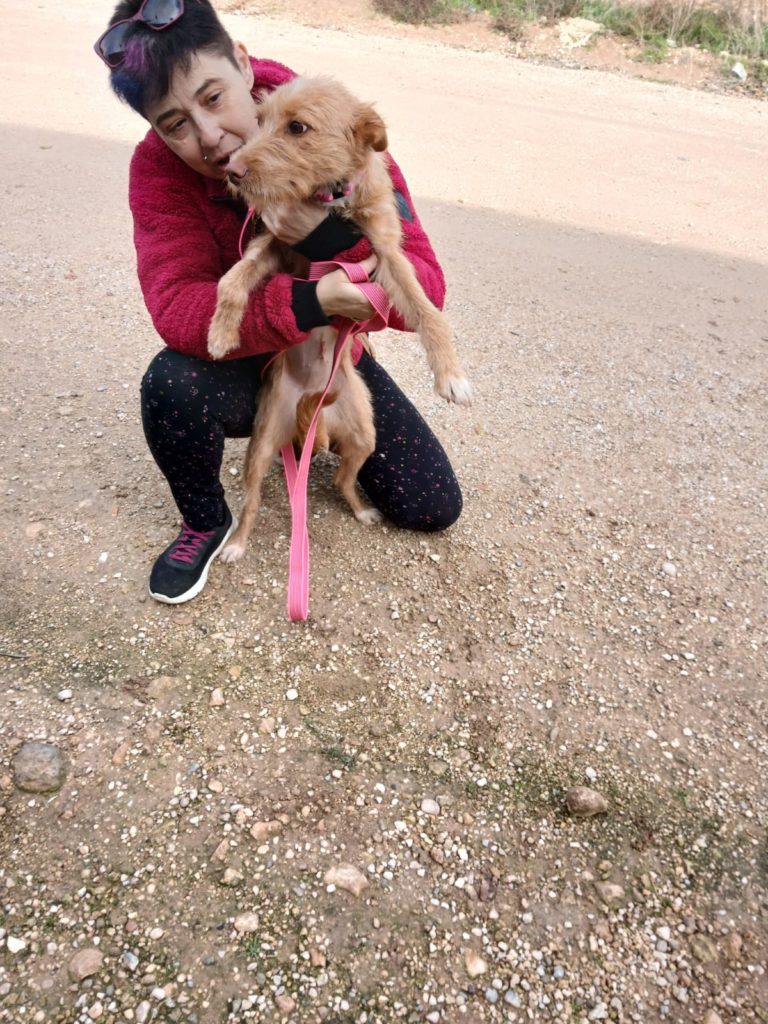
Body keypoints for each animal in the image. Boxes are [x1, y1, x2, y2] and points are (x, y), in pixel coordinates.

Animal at [205, 75, 468, 565]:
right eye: (260, 120)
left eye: (298, 127)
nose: (233, 171)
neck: (328, 201)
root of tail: (317, 411)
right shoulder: (272, 243)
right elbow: (232, 279)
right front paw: (220, 331)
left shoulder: (387, 253)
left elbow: (427, 309)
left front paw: (451, 376)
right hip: (262, 443)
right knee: (251, 502)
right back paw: (235, 544)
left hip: (366, 434)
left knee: (341, 479)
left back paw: (363, 510)